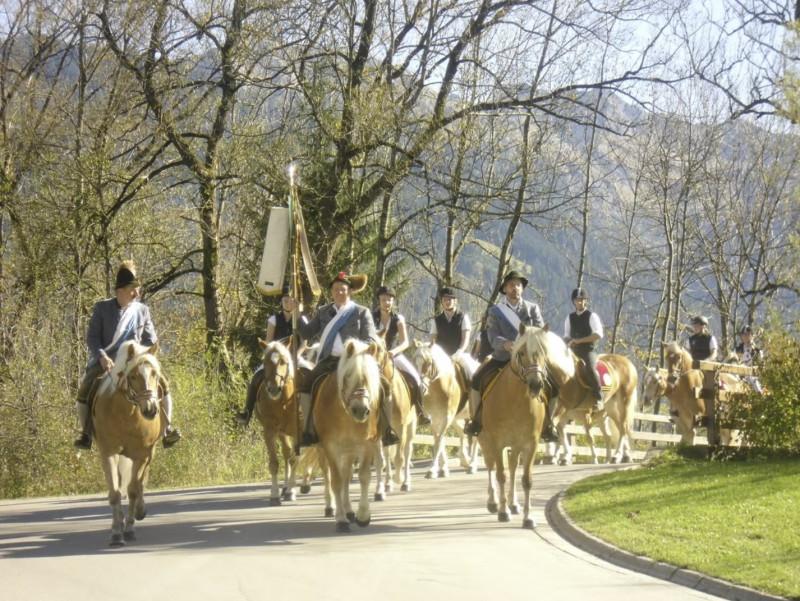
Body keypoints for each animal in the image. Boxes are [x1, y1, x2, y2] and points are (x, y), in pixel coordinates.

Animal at [90, 340, 164, 548]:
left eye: (155, 374)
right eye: (133, 376)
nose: (150, 409)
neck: (128, 413)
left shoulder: (142, 455)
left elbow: (133, 490)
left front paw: (130, 528)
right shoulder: (109, 453)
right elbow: (115, 493)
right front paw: (116, 532)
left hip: (149, 454)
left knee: (140, 482)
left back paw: (139, 510)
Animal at [253, 340, 300, 504]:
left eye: (283, 361)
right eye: (264, 361)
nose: (273, 388)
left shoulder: (298, 431)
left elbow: (295, 459)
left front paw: (292, 491)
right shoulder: (269, 432)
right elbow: (274, 463)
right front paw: (274, 494)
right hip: (282, 433)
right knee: (286, 453)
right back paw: (284, 488)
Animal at [312, 340, 384, 532]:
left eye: (371, 377)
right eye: (348, 375)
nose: (361, 410)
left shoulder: (365, 445)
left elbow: (363, 476)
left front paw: (363, 515)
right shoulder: (330, 447)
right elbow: (336, 480)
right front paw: (340, 519)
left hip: (349, 451)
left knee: (346, 475)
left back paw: (349, 510)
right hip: (324, 450)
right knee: (329, 475)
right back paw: (330, 506)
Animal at [410, 342, 478, 478]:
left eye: (429, 363)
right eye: (414, 362)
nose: (421, 387)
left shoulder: (447, 417)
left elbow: (440, 440)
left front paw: (433, 469)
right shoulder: (433, 418)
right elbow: (438, 442)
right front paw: (441, 468)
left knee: (475, 438)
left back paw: (472, 465)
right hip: (457, 418)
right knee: (462, 432)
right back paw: (465, 460)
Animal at [476, 324, 576, 524]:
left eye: (544, 352)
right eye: (521, 353)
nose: (536, 384)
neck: (516, 398)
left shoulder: (531, 442)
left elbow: (526, 479)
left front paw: (528, 517)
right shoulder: (497, 443)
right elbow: (501, 475)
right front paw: (503, 511)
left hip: (516, 444)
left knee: (514, 466)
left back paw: (513, 503)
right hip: (484, 439)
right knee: (491, 465)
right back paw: (493, 502)